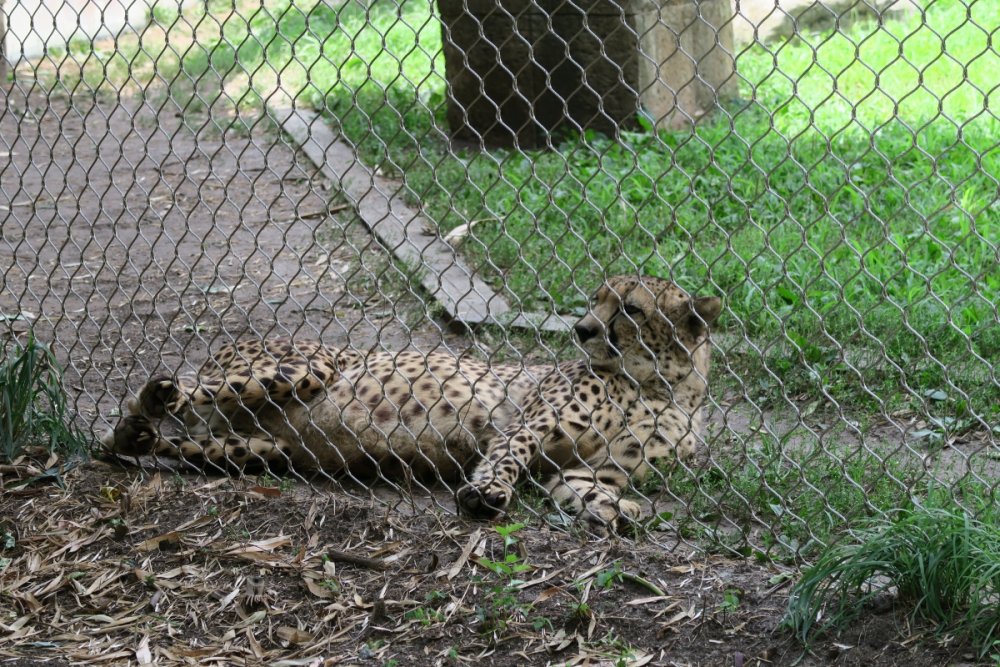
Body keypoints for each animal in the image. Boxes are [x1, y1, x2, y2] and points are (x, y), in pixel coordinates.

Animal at [102, 275, 721, 532]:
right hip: (302, 368)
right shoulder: (528, 426)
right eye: (597, 299)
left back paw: (138, 436)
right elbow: (507, 457)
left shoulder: (588, 469)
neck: (661, 387)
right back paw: (154, 397)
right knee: (177, 395)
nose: (583, 329)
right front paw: (485, 495)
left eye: (631, 309)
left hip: (266, 448)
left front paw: (621, 513)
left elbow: (587, 490)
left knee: (189, 444)